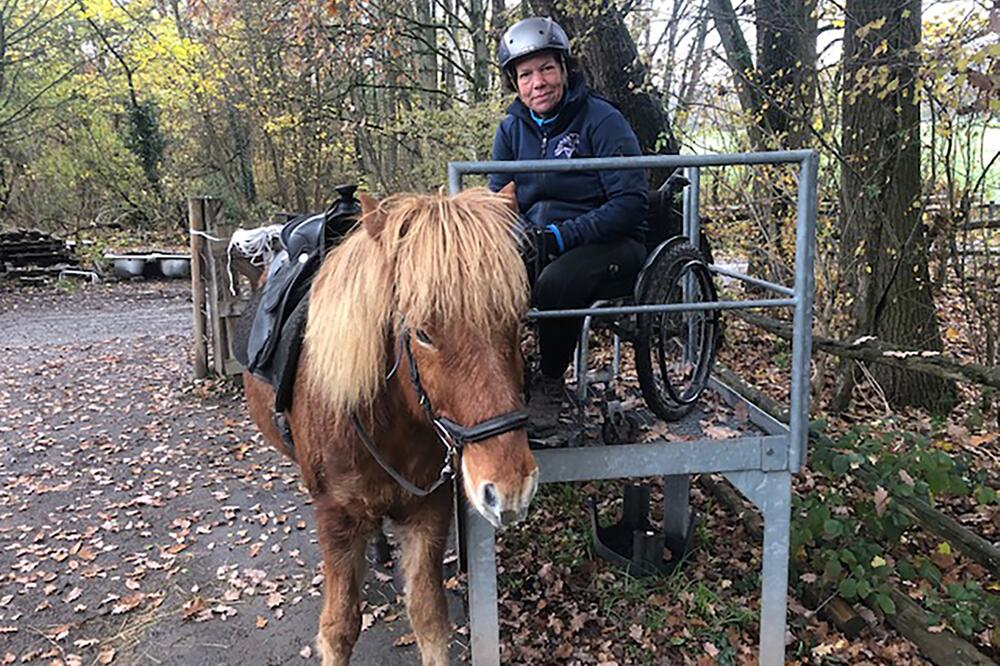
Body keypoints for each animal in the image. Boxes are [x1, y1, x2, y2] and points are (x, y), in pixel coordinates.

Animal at [243, 184, 540, 660]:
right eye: (421, 333)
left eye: (518, 320)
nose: (511, 489)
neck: (389, 426)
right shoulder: (336, 518)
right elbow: (339, 628)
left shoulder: (428, 512)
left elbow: (429, 617)